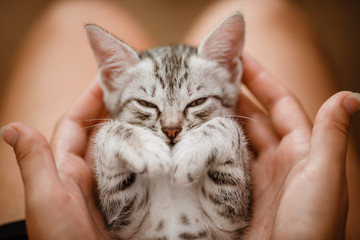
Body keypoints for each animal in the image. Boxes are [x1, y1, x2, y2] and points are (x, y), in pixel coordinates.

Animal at [87, 13, 252, 240]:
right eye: (146, 104)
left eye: (197, 102)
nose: (171, 130)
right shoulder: (125, 219)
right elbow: (108, 130)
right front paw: (146, 149)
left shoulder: (230, 217)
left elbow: (227, 125)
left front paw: (190, 153)